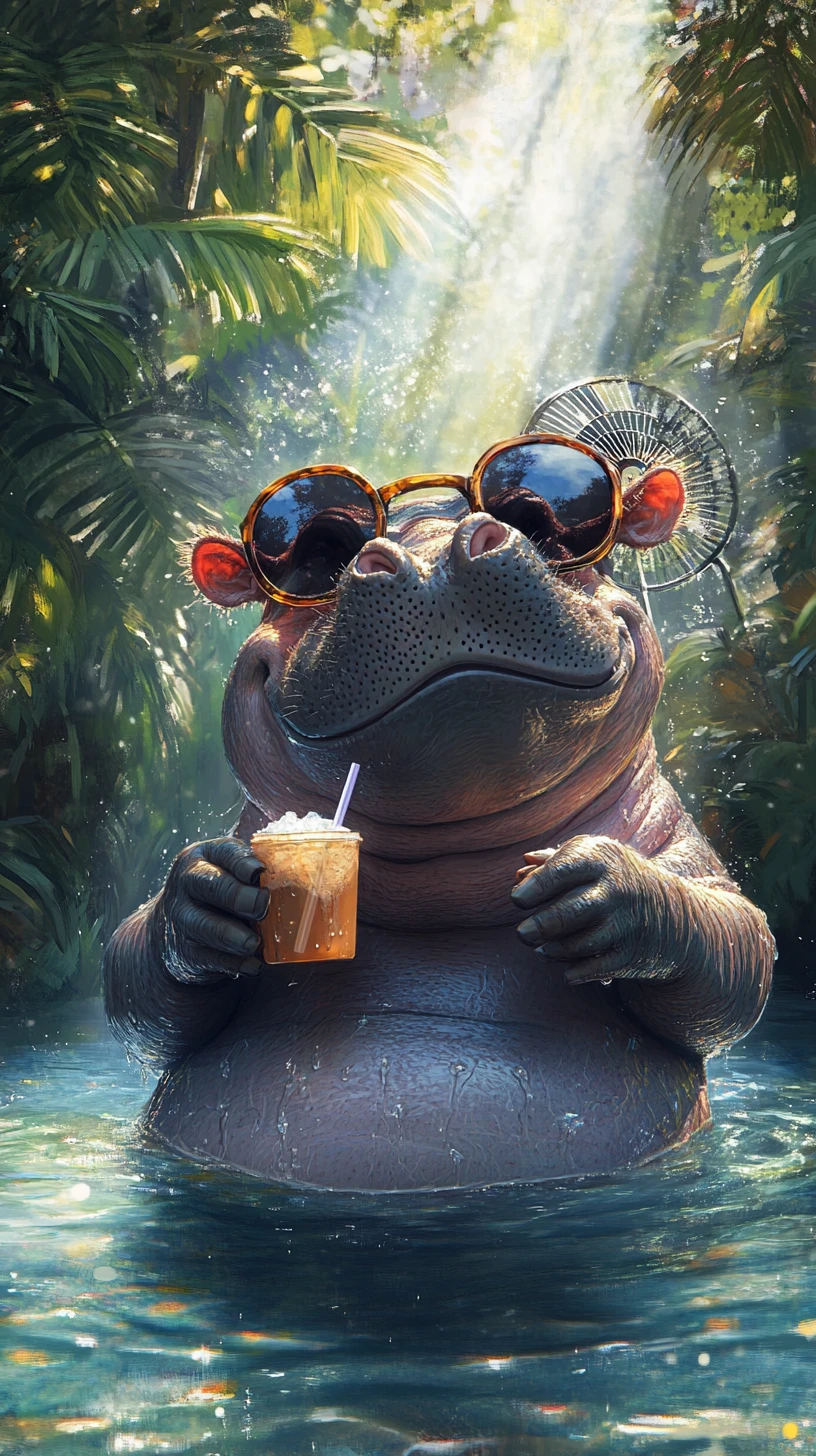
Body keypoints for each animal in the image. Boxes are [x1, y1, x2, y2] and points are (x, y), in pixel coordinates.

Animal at [104, 408, 775, 1192]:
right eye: (318, 550)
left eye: (538, 518)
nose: (427, 561)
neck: (445, 886)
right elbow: (135, 978)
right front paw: (210, 891)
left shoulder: (688, 853)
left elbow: (733, 950)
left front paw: (596, 885)